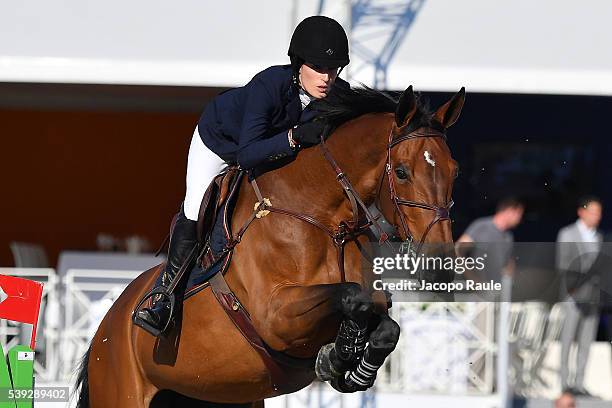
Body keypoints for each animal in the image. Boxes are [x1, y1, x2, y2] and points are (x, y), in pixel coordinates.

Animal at [73, 84, 464, 406]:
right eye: (401, 172)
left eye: (454, 170)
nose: (440, 265)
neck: (326, 221)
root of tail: (106, 327)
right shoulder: (275, 316)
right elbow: (352, 296)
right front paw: (337, 355)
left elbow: (386, 327)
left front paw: (349, 365)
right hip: (122, 390)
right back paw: (154, 312)